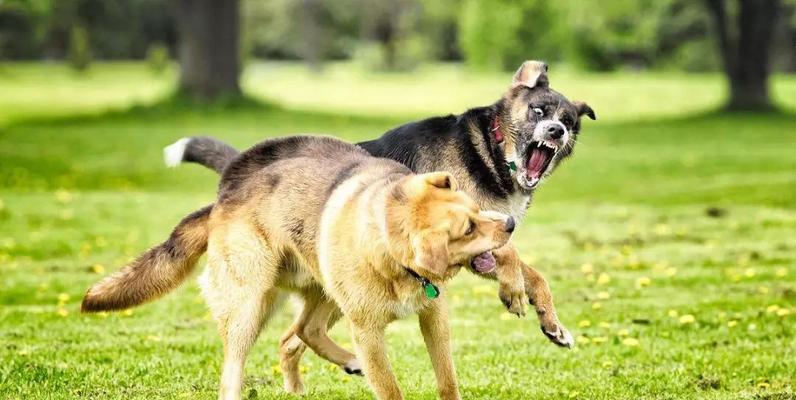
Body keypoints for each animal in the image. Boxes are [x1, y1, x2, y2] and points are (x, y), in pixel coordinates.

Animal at [82, 136, 516, 398]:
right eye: (467, 228)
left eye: (476, 210)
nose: (510, 224)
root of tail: (223, 199)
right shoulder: (368, 332)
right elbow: (390, 388)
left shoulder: (434, 315)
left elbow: (447, 379)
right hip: (251, 303)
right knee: (236, 366)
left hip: (327, 292)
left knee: (300, 332)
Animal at [165, 60, 592, 346]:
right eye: (538, 111)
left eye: (569, 121)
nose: (556, 130)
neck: (491, 150)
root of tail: (242, 170)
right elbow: (514, 260)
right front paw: (513, 291)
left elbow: (536, 274)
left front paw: (552, 324)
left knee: (294, 339)